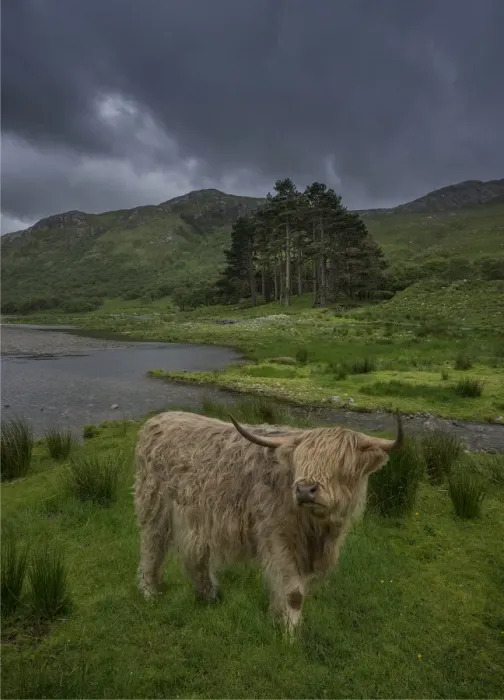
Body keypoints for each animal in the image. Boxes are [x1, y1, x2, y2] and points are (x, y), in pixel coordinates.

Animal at [134, 409, 403, 637]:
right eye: (300, 460)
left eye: (342, 463)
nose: (305, 490)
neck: (317, 529)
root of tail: (159, 419)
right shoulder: (278, 536)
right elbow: (294, 593)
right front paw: (290, 635)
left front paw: (276, 619)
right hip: (154, 507)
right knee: (151, 549)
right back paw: (149, 593)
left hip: (196, 516)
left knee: (195, 555)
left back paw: (208, 595)